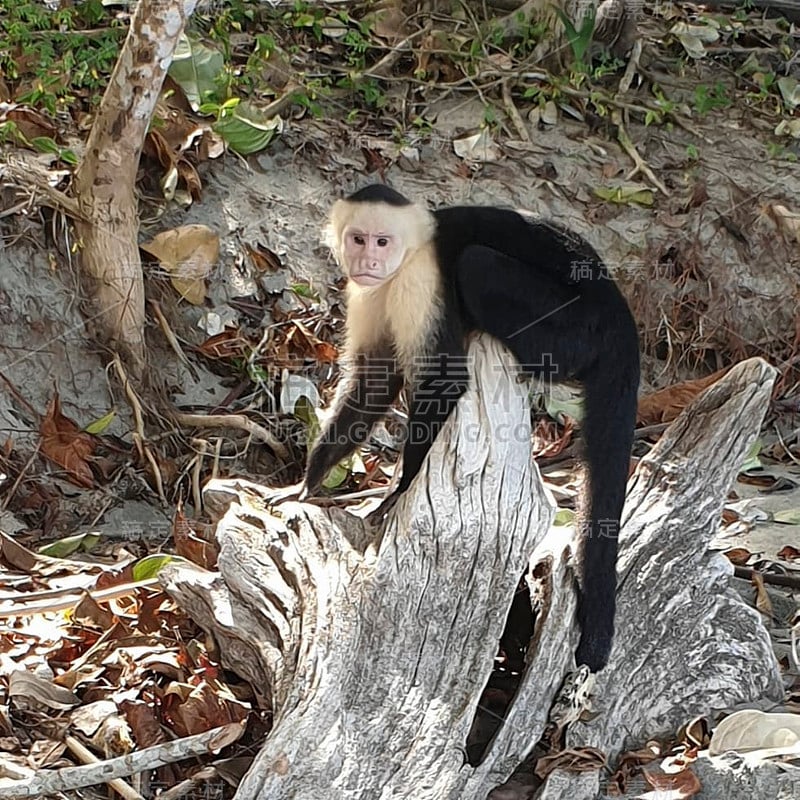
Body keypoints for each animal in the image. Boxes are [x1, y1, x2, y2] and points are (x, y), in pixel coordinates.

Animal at [296, 184, 640, 672]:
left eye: (382, 242)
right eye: (358, 239)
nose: (368, 260)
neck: (408, 255)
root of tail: (619, 309)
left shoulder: (418, 280)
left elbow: (445, 379)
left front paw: (401, 489)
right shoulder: (370, 291)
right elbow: (373, 380)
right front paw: (310, 480)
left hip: (577, 329)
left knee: (477, 265)